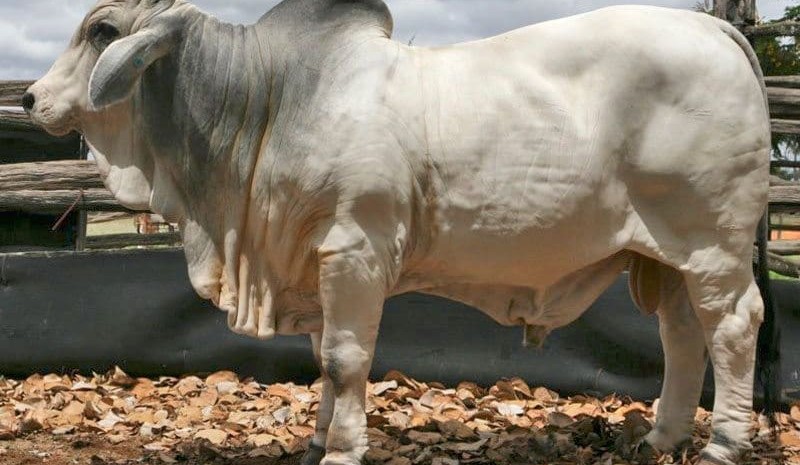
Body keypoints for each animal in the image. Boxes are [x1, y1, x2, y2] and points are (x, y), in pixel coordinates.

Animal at [24, 1, 778, 464]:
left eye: (101, 31)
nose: (29, 97)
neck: (270, 102)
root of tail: (714, 31)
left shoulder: (354, 250)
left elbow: (346, 359)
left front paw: (342, 448)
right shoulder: (316, 267)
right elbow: (322, 359)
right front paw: (318, 437)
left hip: (713, 244)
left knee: (734, 327)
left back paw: (724, 443)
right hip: (669, 256)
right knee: (681, 335)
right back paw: (661, 437)